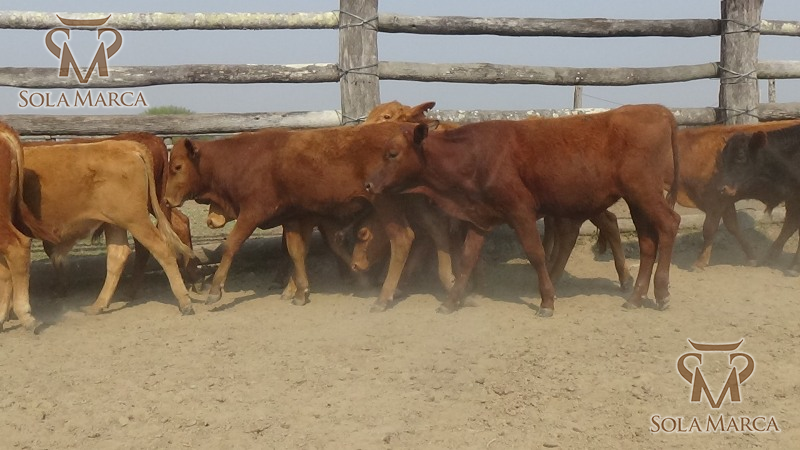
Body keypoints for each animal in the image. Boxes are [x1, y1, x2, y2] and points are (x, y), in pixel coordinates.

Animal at [21, 140, 195, 316]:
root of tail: (125, 145)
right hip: (114, 223)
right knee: (118, 254)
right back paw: (98, 304)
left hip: (135, 219)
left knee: (161, 248)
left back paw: (184, 301)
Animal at [163, 122, 437, 311]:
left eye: (177, 166)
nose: (166, 199)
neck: (244, 158)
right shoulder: (295, 217)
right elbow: (295, 251)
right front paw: (300, 290)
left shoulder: (252, 212)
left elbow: (232, 245)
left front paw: (215, 290)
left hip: (386, 203)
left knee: (403, 239)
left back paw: (384, 296)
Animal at [364, 104, 681, 317]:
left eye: (392, 154)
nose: (368, 184)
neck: (476, 155)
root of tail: (658, 110)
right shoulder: (480, 217)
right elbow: (466, 259)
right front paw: (451, 301)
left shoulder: (520, 211)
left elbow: (536, 254)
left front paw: (547, 301)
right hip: (636, 200)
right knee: (647, 242)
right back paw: (636, 296)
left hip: (644, 193)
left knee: (669, 224)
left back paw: (662, 292)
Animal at [716, 123, 800, 269]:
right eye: (723, 158)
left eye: (740, 156)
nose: (721, 188)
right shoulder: (793, 199)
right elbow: (789, 226)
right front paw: (770, 258)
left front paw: (794, 265)